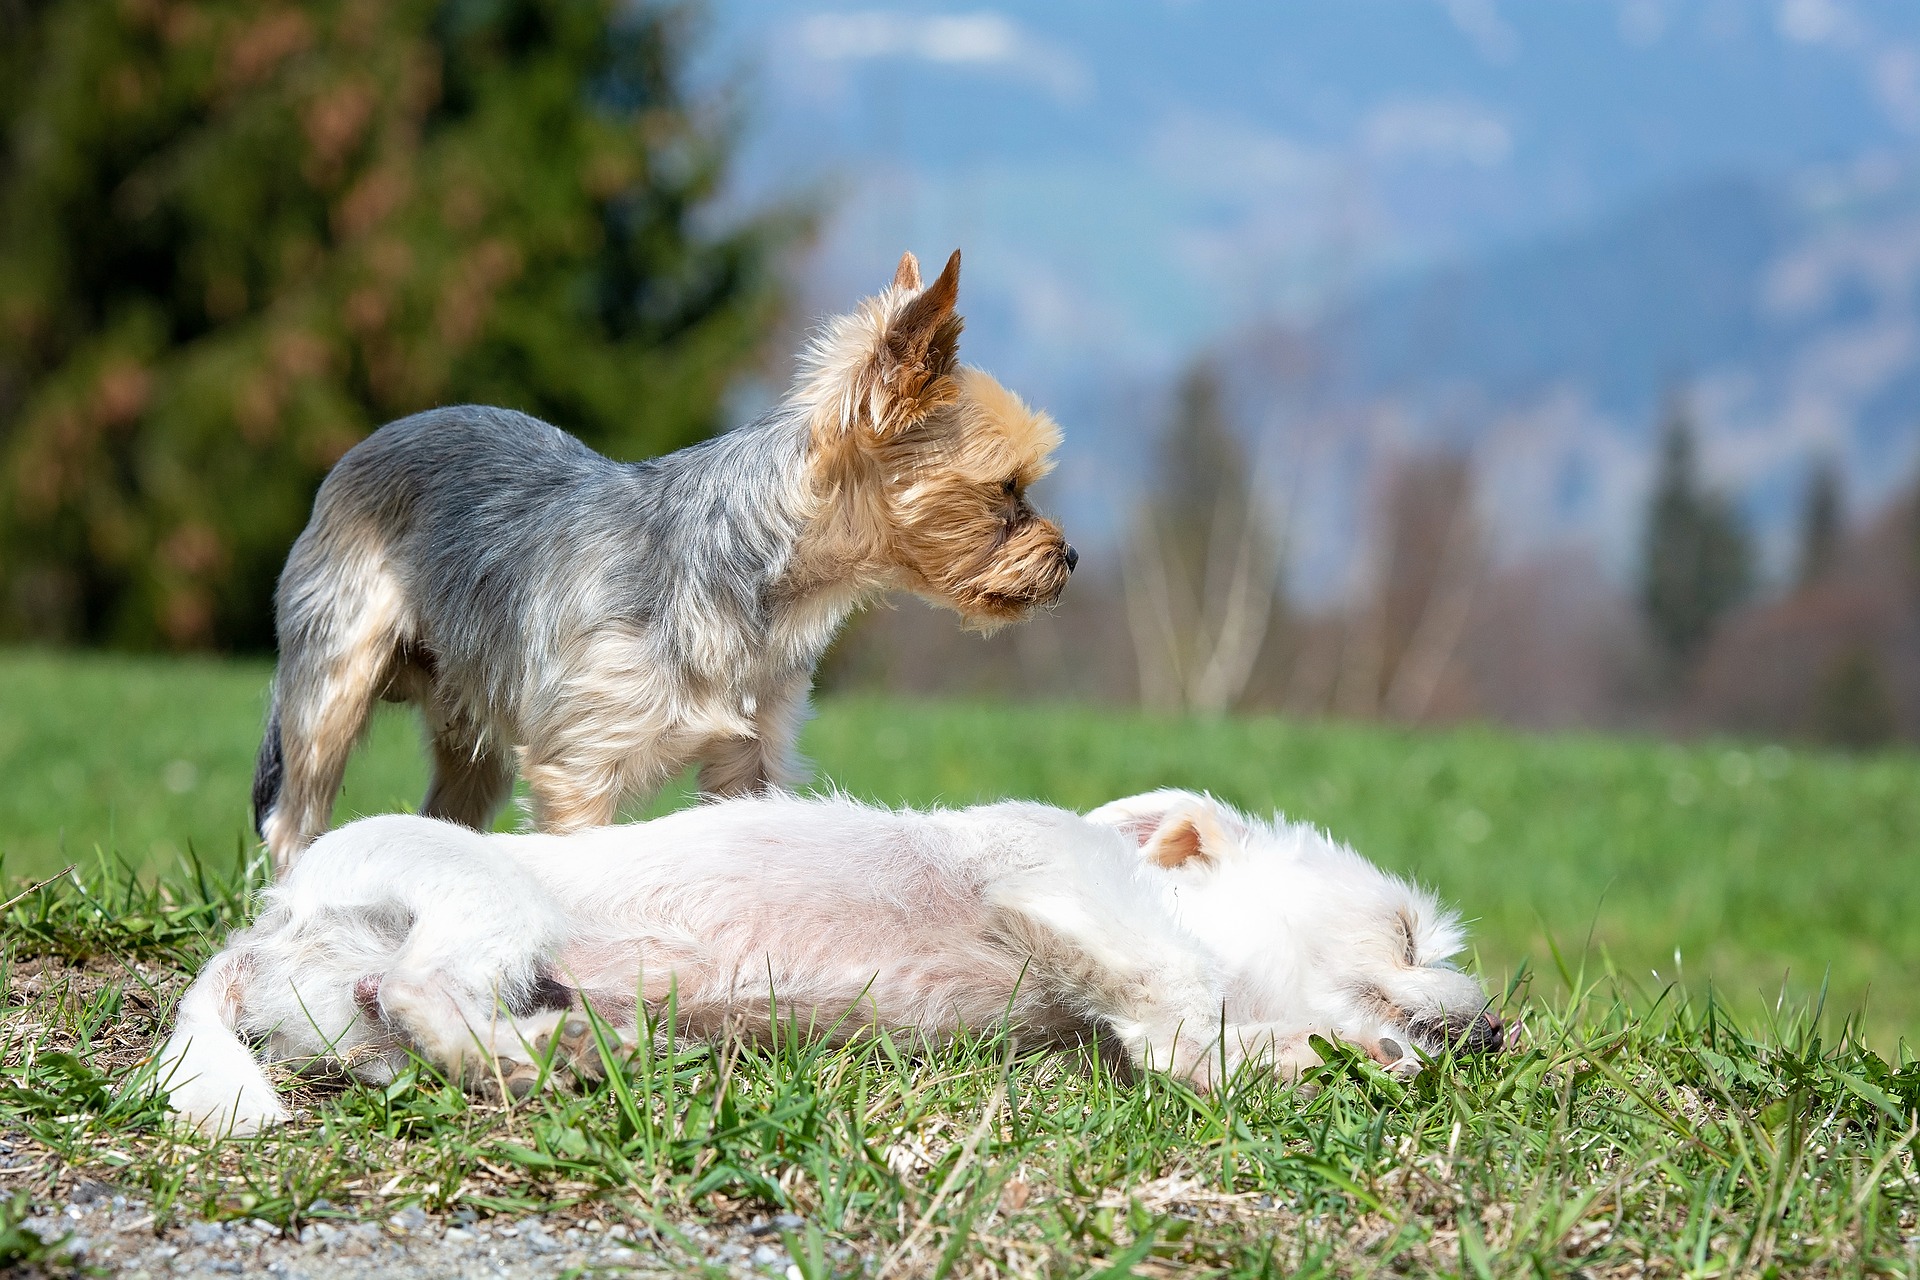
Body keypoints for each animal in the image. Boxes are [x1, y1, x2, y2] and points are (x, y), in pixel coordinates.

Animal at [157, 794, 1497, 1136]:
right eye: (1407, 933)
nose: (1496, 1032)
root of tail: (270, 922)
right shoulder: (1057, 884)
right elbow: (1181, 1013)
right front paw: (1308, 1052)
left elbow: (1190, 1035)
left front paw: (1323, 1054)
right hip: (489, 904)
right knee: (423, 989)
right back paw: (543, 1055)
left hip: (353, 1009)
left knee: (392, 1033)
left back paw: (574, 1046)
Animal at [251, 249, 1082, 871]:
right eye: (1008, 488)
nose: (1071, 555)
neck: (757, 580)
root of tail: (365, 446)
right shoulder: (580, 768)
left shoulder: (750, 762)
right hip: (332, 679)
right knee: (294, 819)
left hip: (469, 723)